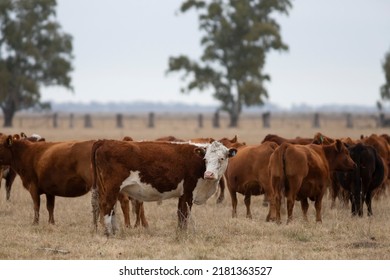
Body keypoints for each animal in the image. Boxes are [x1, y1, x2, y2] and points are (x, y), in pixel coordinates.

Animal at [90, 140, 238, 236]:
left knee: (109, 207)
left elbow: (180, 214)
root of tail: (105, 142)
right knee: (106, 205)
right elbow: (184, 214)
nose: (209, 174)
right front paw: (183, 235)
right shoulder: (189, 192)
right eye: (205, 159)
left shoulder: (182, 194)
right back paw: (109, 233)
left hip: (106, 188)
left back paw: (115, 231)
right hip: (112, 186)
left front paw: (180, 233)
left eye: (222, 158)